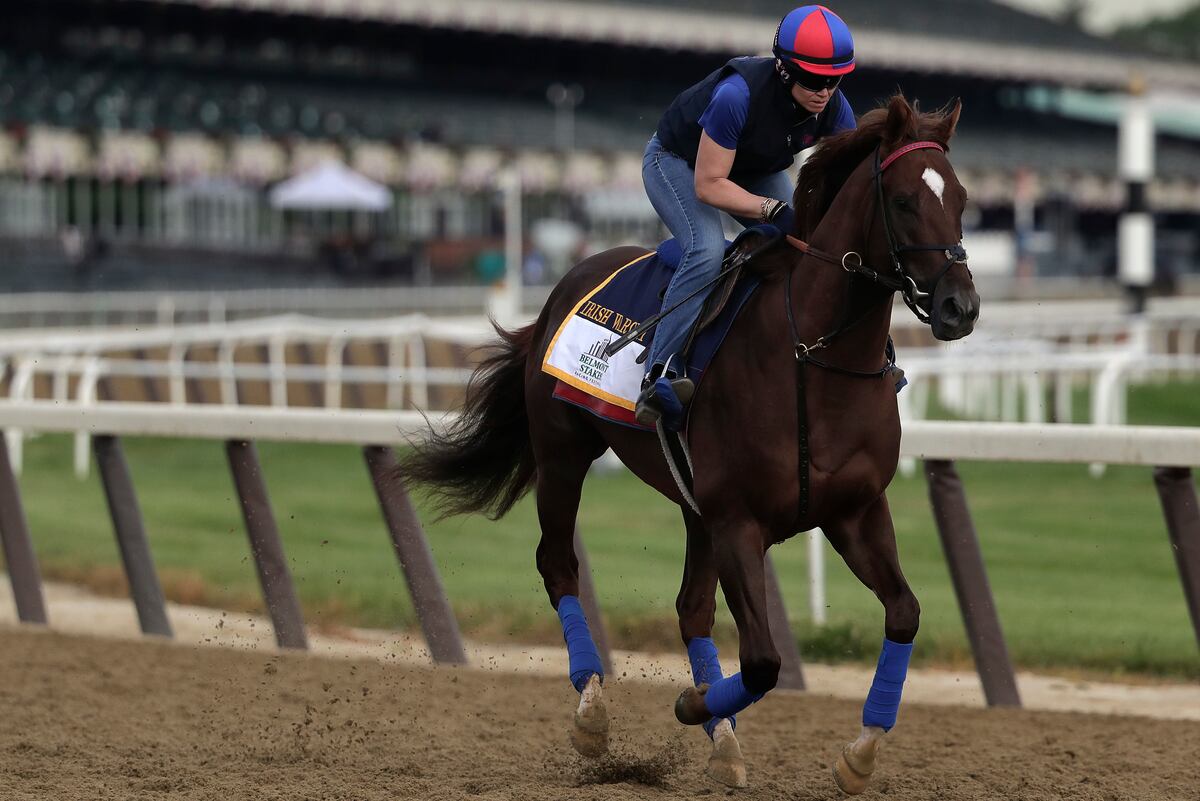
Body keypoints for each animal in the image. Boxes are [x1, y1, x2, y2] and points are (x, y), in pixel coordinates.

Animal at [399, 94, 979, 794]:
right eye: (902, 200)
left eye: (962, 198)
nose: (959, 307)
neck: (810, 356)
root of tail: (567, 283)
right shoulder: (738, 521)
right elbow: (761, 661)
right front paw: (690, 704)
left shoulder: (853, 512)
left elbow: (904, 612)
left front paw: (859, 752)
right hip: (564, 455)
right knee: (559, 564)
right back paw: (593, 711)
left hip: (692, 504)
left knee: (691, 608)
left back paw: (722, 743)